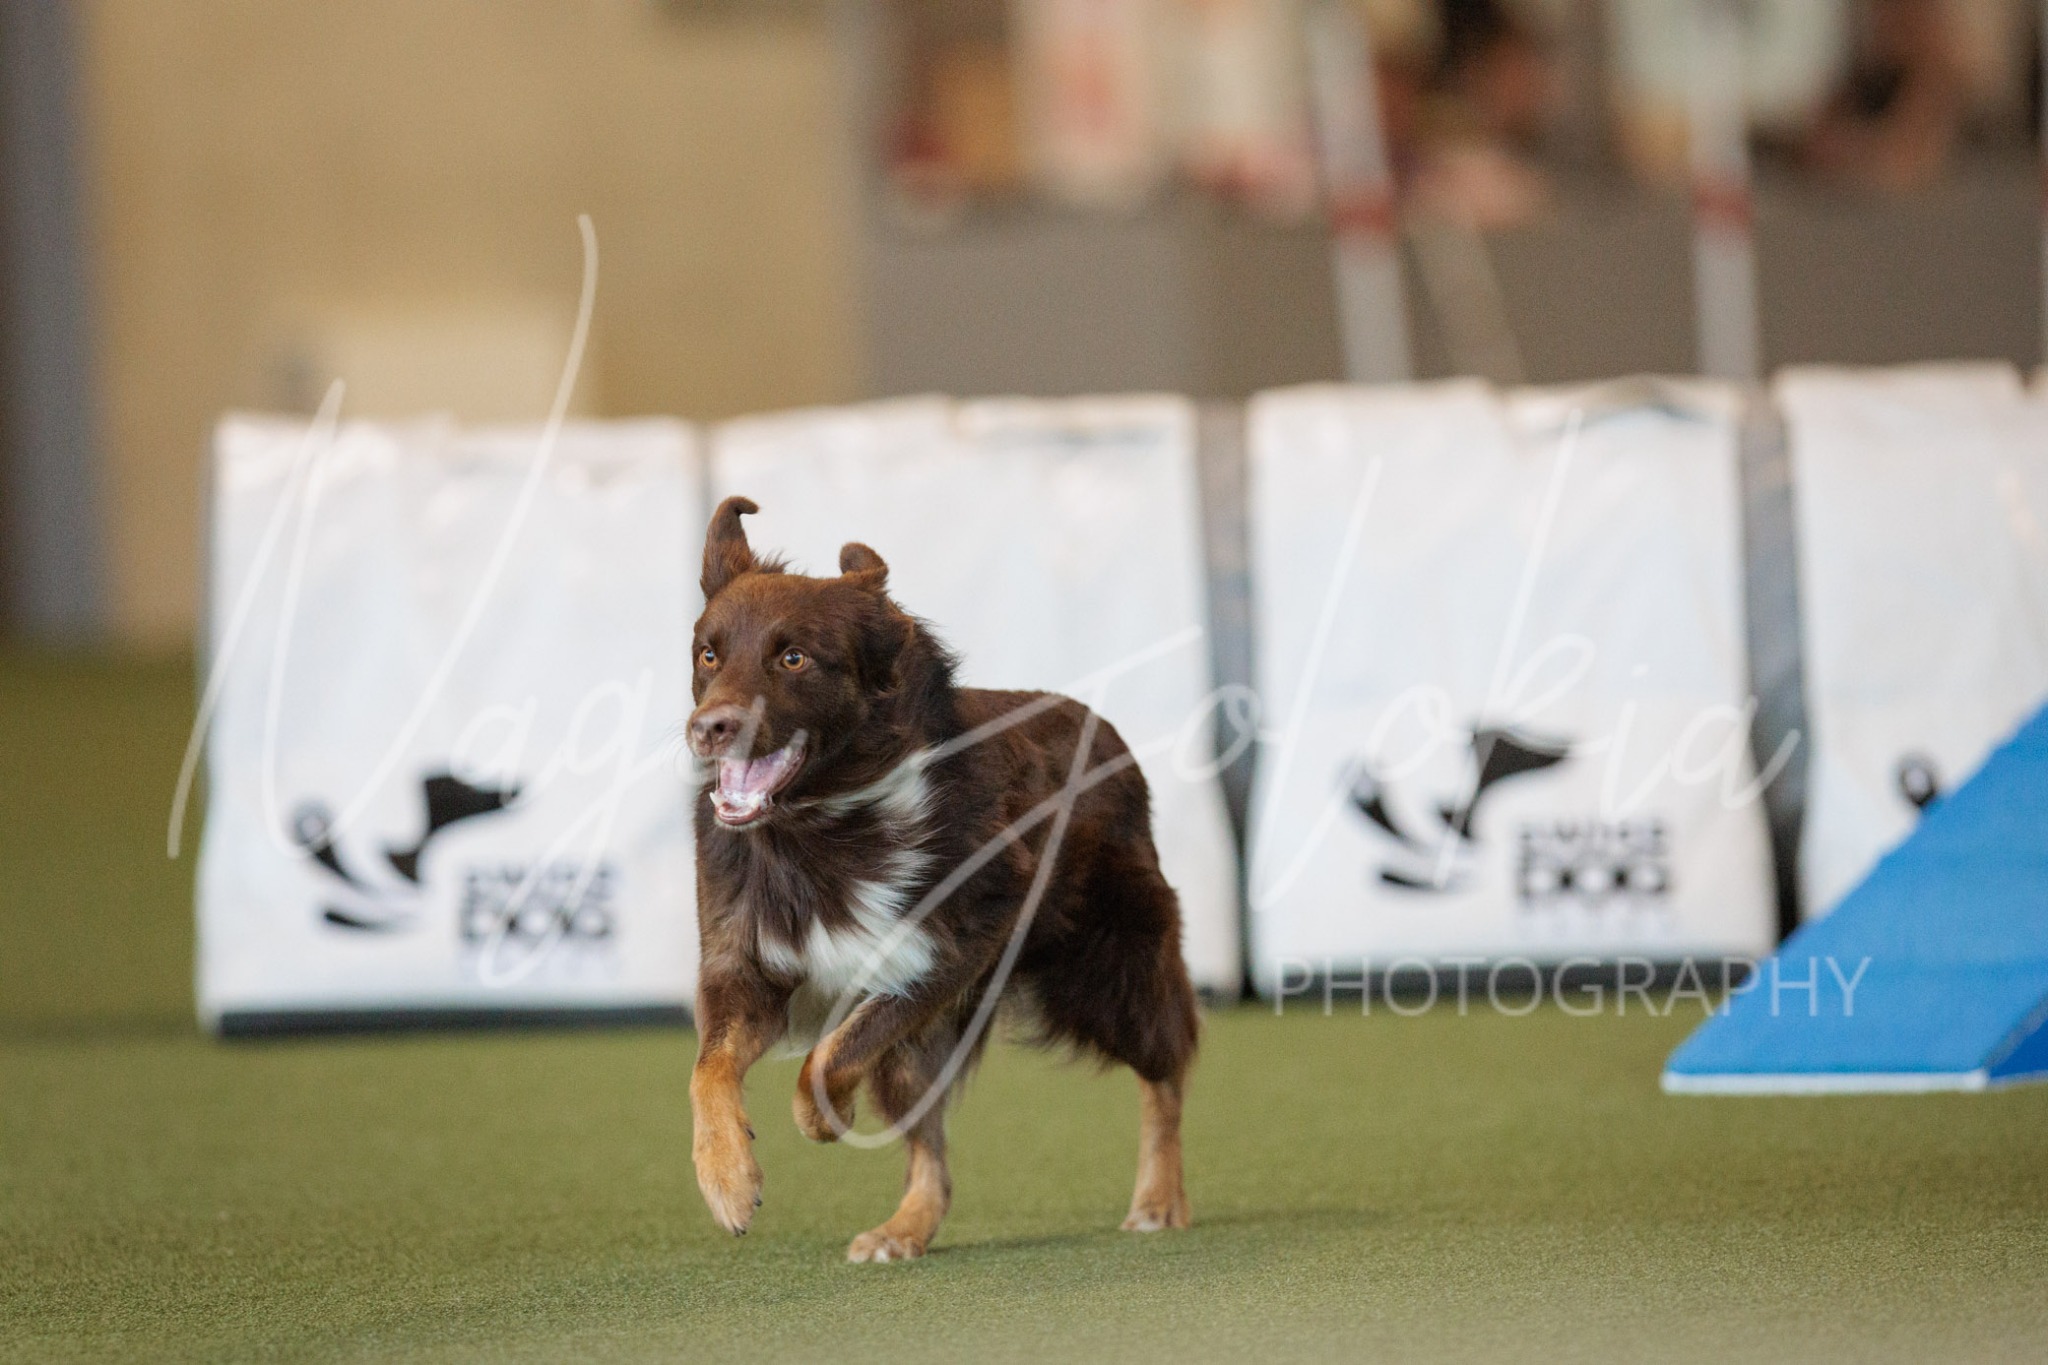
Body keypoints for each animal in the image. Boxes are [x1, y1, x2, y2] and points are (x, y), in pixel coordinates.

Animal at [685, 496, 1199, 1262]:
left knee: (1166, 1070)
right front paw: (726, 1175)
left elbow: (830, 1058)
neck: (821, 825)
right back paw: (906, 1227)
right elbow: (709, 1070)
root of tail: (1103, 728)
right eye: (709, 654)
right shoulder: (744, 964)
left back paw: (1161, 1197)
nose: (709, 727)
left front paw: (823, 1116)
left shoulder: (956, 944)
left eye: (793, 657)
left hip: (1108, 971)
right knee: (930, 1150)